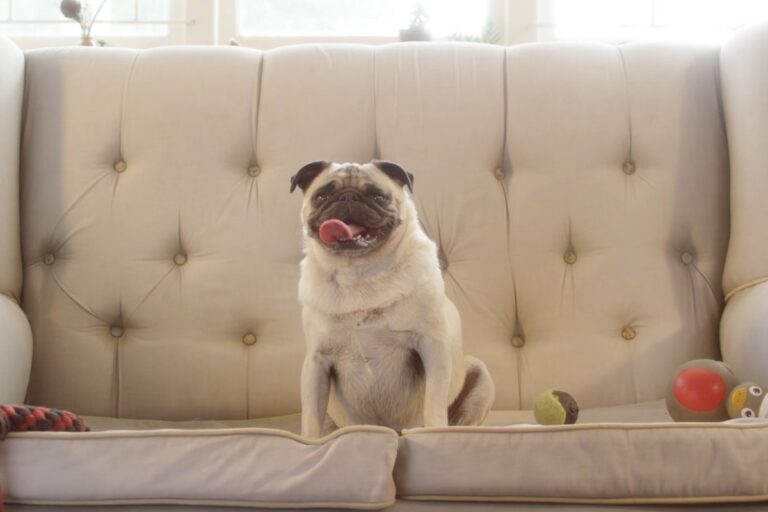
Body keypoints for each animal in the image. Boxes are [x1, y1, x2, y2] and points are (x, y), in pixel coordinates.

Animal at [292, 162, 496, 438]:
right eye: (322, 196)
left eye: (379, 196)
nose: (348, 197)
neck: (360, 273)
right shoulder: (316, 362)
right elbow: (311, 416)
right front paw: (310, 442)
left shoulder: (432, 348)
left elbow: (433, 404)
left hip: (480, 374)